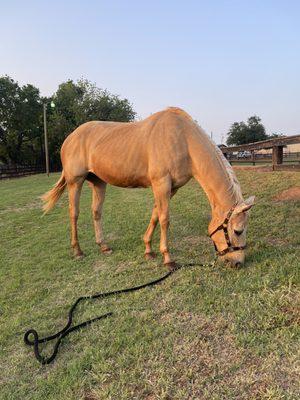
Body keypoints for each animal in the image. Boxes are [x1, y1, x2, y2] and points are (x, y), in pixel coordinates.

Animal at [42, 108, 253, 268]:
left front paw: (148, 250)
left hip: (98, 182)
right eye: (238, 231)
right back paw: (78, 251)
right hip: (75, 182)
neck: (183, 140)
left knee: (96, 212)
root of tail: (70, 137)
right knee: (74, 213)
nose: (238, 262)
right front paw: (167, 258)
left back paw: (103, 246)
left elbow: (155, 215)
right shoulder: (161, 183)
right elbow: (165, 219)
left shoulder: (170, 188)